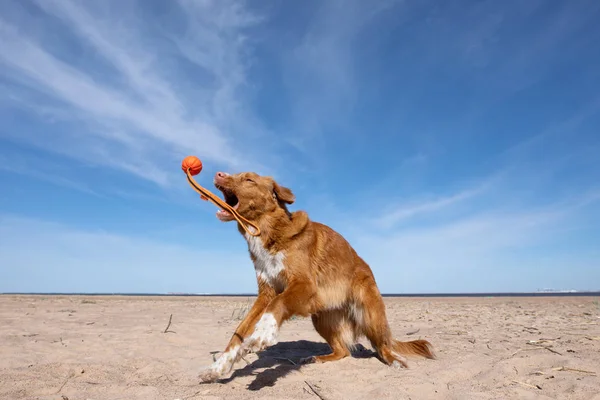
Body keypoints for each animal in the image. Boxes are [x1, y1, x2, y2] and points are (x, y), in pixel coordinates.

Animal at [199, 170, 434, 382]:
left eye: (248, 179)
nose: (218, 173)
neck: (268, 231)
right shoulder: (266, 293)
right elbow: (238, 332)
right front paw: (219, 367)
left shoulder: (303, 285)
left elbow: (277, 304)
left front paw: (262, 334)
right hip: (321, 318)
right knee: (344, 351)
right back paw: (317, 358)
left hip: (369, 314)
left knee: (382, 346)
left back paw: (394, 360)